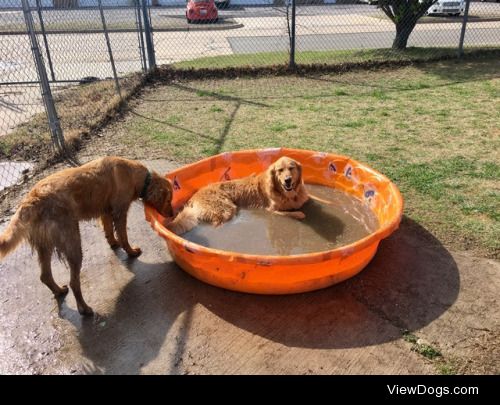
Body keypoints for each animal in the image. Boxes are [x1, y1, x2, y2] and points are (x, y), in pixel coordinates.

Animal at [0, 156, 174, 314]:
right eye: (168, 200)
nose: (172, 215)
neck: (136, 176)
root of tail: (31, 200)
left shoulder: (106, 212)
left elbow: (109, 232)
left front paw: (113, 243)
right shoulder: (120, 213)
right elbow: (124, 237)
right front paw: (131, 252)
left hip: (45, 246)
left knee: (45, 276)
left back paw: (59, 291)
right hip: (73, 243)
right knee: (74, 282)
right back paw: (84, 308)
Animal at [168, 156, 308, 235]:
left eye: (291, 168)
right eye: (280, 170)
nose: (287, 180)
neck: (286, 193)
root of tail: (193, 197)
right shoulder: (271, 210)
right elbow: (292, 213)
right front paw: (298, 213)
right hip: (225, 209)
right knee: (217, 224)